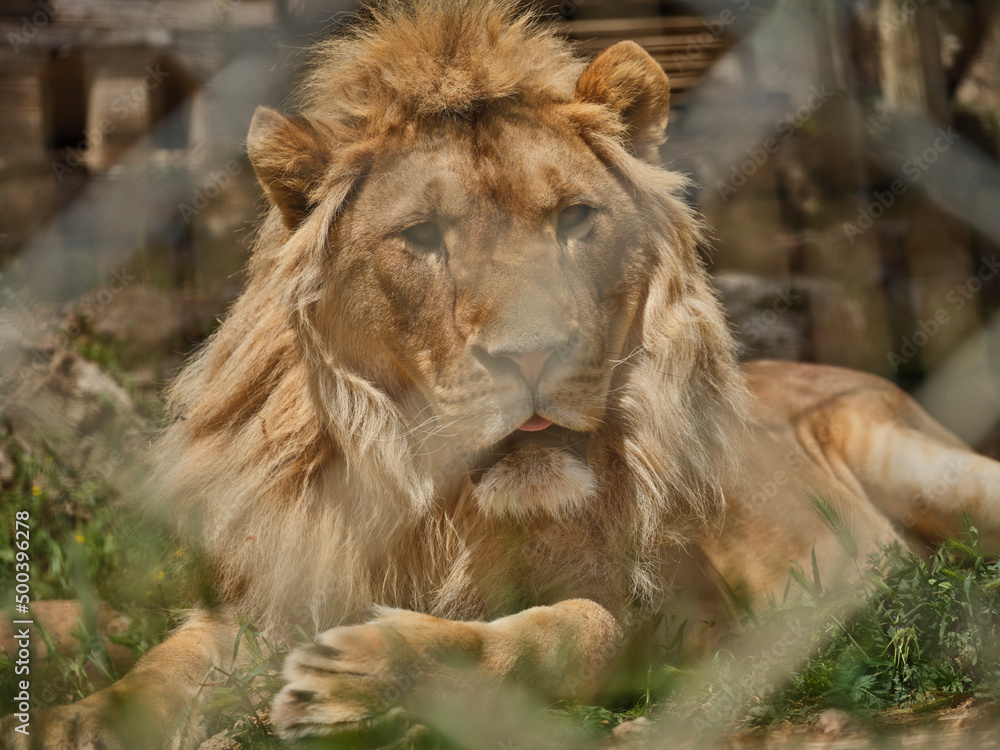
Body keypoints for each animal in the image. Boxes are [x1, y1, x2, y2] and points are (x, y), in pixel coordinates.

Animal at [5, 0, 1000, 747]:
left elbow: (565, 633)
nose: (534, 352)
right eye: (423, 238)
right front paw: (80, 722)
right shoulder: (262, 594)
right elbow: (162, 663)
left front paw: (363, 677)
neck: (440, 510)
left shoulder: (685, 618)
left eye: (574, 220)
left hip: (929, 465)